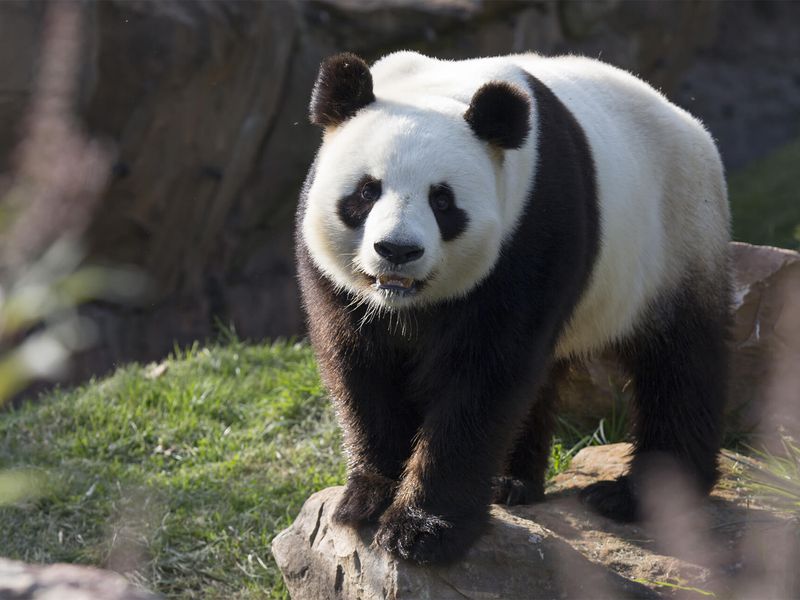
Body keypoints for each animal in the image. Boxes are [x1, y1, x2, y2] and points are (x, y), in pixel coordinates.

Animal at [296, 51, 730, 565]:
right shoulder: (335, 281)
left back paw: (634, 495)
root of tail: (689, 123)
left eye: (442, 200)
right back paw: (510, 483)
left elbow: (485, 376)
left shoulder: (531, 230)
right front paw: (366, 499)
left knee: (679, 365)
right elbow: (362, 367)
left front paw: (422, 531)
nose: (397, 250)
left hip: (675, 238)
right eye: (367, 191)